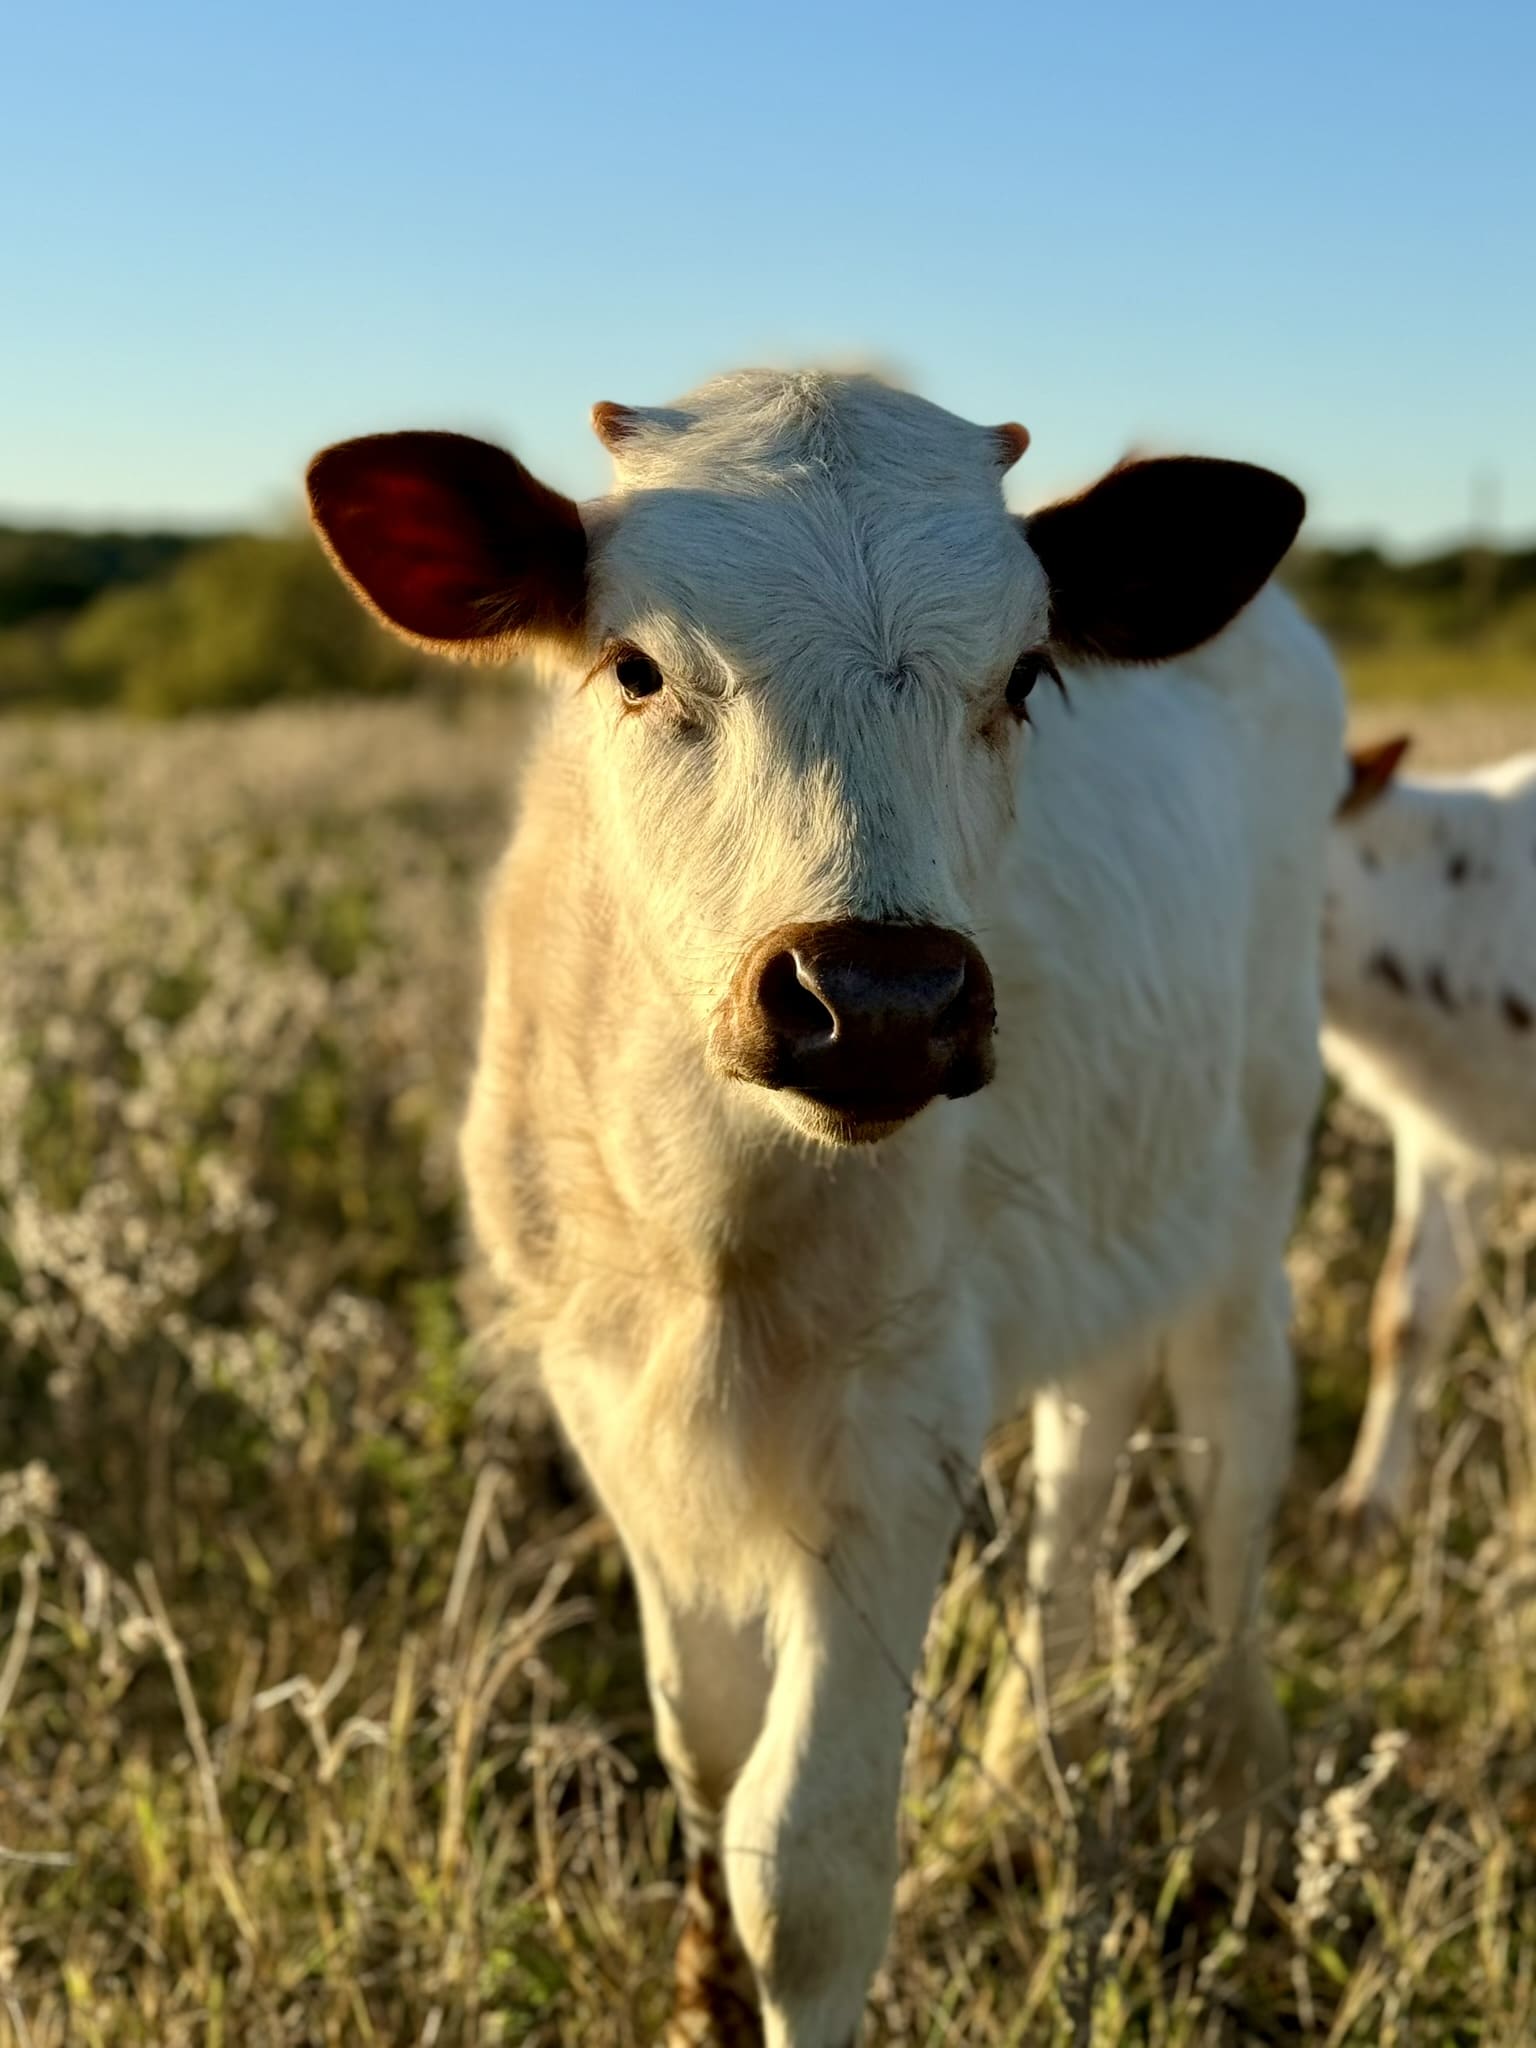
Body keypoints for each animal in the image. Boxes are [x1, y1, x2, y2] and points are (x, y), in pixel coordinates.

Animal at [307, 372, 1343, 2048]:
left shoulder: (897, 1428)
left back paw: (1248, 1804)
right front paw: (698, 2002)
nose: (880, 1003)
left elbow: (807, 1861)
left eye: (1027, 675)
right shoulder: (614, 1408)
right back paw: (1021, 1780)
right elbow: (703, 1751)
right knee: (1081, 1470)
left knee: (1237, 1461)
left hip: (1251, 1192)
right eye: (637, 666)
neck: (713, 1224)